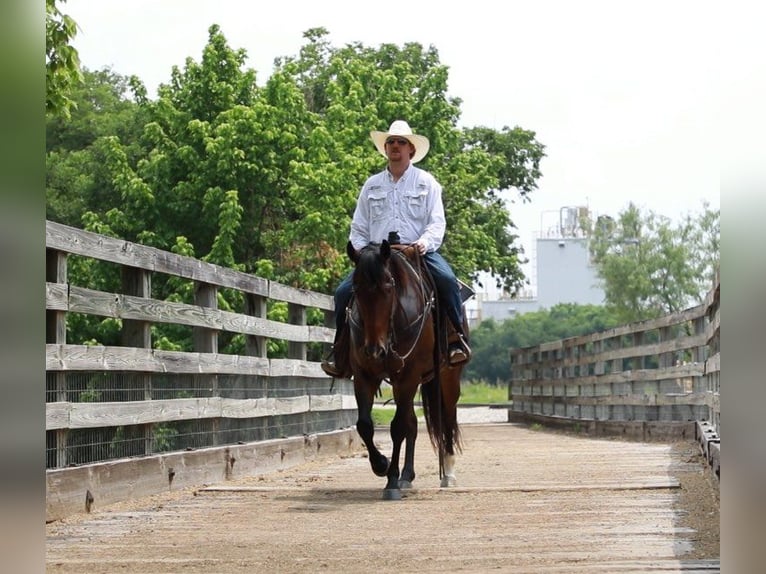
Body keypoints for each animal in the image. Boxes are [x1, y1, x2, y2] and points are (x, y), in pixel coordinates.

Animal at [346, 241, 464, 502]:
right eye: (356, 288)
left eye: (389, 287)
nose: (375, 350)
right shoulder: (364, 375)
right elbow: (365, 424)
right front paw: (381, 464)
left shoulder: (408, 375)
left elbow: (398, 426)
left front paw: (391, 481)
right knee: (412, 422)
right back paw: (407, 476)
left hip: (447, 379)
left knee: (447, 417)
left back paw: (449, 473)